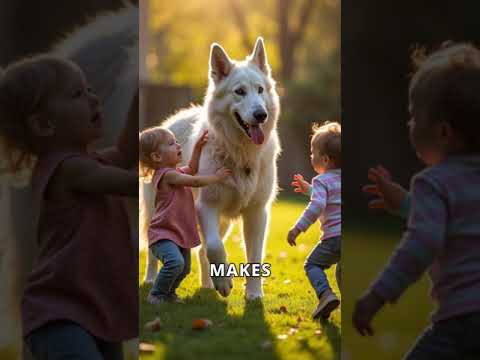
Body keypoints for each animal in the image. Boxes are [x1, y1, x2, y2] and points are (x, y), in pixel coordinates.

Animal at [141, 37, 282, 300]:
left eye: (259, 90)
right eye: (239, 92)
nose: (261, 115)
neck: (240, 153)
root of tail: (169, 122)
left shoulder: (257, 213)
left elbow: (254, 257)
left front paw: (253, 294)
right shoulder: (206, 207)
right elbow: (216, 247)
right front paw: (225, 282)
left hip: (223, 222)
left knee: (202, 251)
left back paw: (207, 285)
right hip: (159, 212)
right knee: (156, 249)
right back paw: (151, 279)